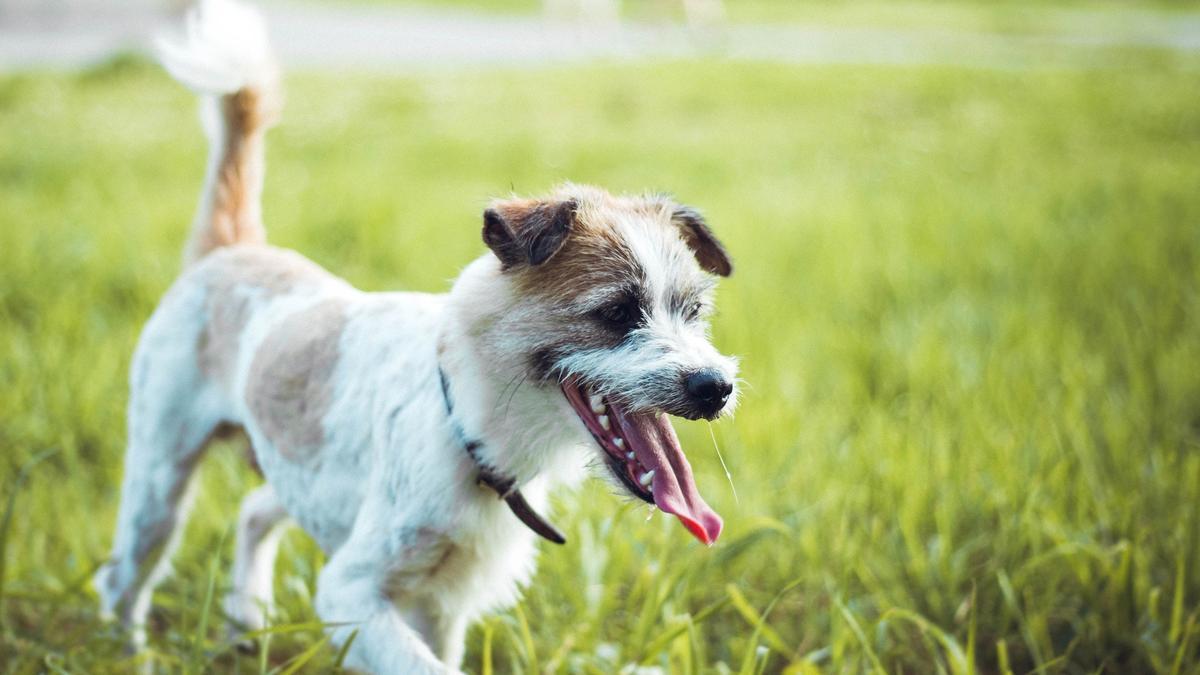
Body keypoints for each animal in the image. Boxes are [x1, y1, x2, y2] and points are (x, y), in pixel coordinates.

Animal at [96, 0, 739, 667]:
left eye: (693, 311)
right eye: (615, 312)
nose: (715, 386)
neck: (465, 424)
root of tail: (234, 250)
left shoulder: (441, 605)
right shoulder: (351, 591)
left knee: (251, 510)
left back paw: (244, 617)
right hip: (158, 482)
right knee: (123, 577)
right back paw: (130, 654)